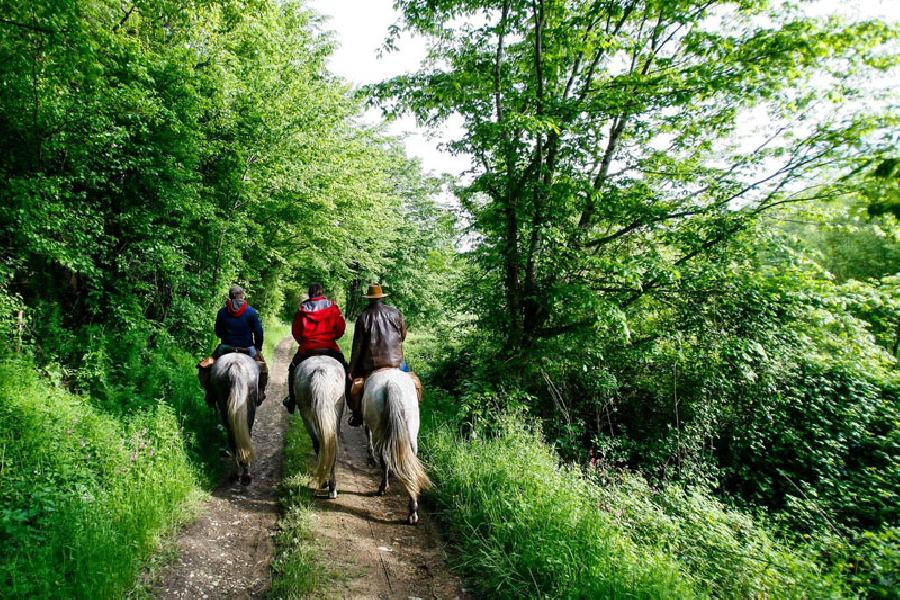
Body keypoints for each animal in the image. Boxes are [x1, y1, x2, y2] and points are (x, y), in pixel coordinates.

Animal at [362, 370, 432, 524]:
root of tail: (391, 383)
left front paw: (371, 460)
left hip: (380, 433)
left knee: (384, 459)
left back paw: (383, 488)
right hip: (411, 434)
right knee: (410, 466)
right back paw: (412, 512)